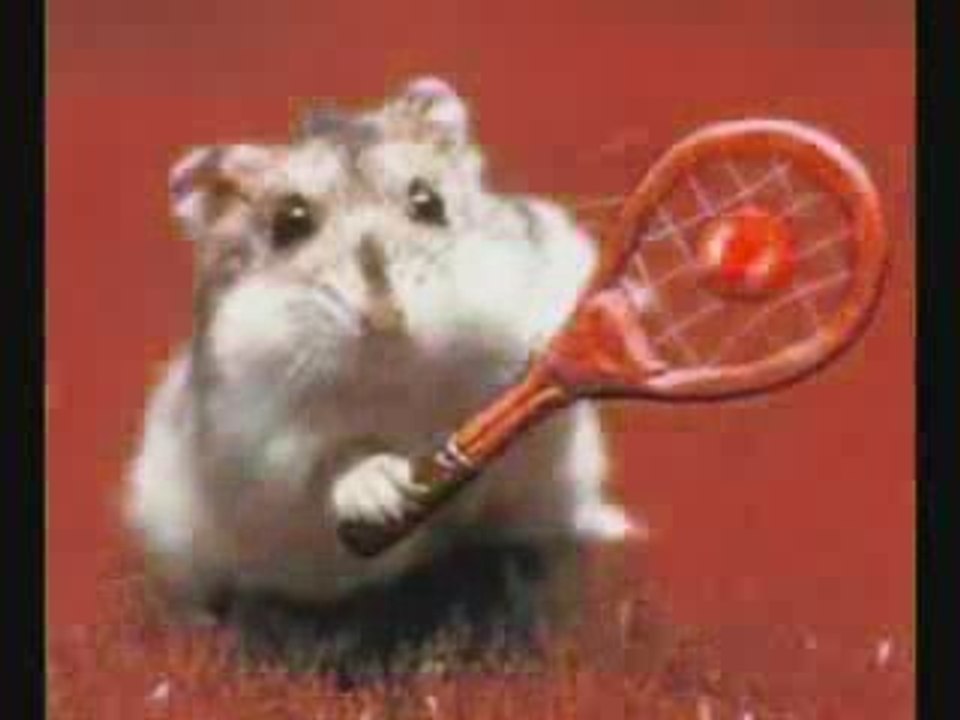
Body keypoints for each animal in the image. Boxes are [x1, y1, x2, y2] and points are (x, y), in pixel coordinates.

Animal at [125, 77, 638, 670]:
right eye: (289, 223)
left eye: (429, 202)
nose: (387, 318)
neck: (402, 377)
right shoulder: (261, 446)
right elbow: (336, 463)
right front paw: (384, 489)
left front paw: (569, 341)